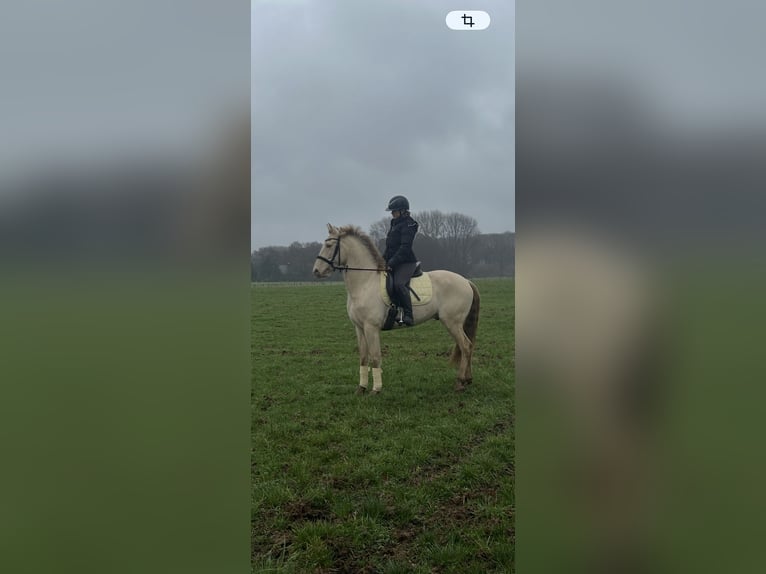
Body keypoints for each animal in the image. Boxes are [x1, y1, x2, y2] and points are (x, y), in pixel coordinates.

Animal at [312, 223, 480, 394]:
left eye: (329, 245)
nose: (316, 271)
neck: (365, 283)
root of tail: (466, 281)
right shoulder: (359, 328)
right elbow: (364, 357)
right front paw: (361, 388)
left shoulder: (371, 327)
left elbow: (375, 357)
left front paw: (376, 389)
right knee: (468, 346)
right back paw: (468, 379)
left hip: (452, 322)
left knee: (465, 346)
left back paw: (460, 382)